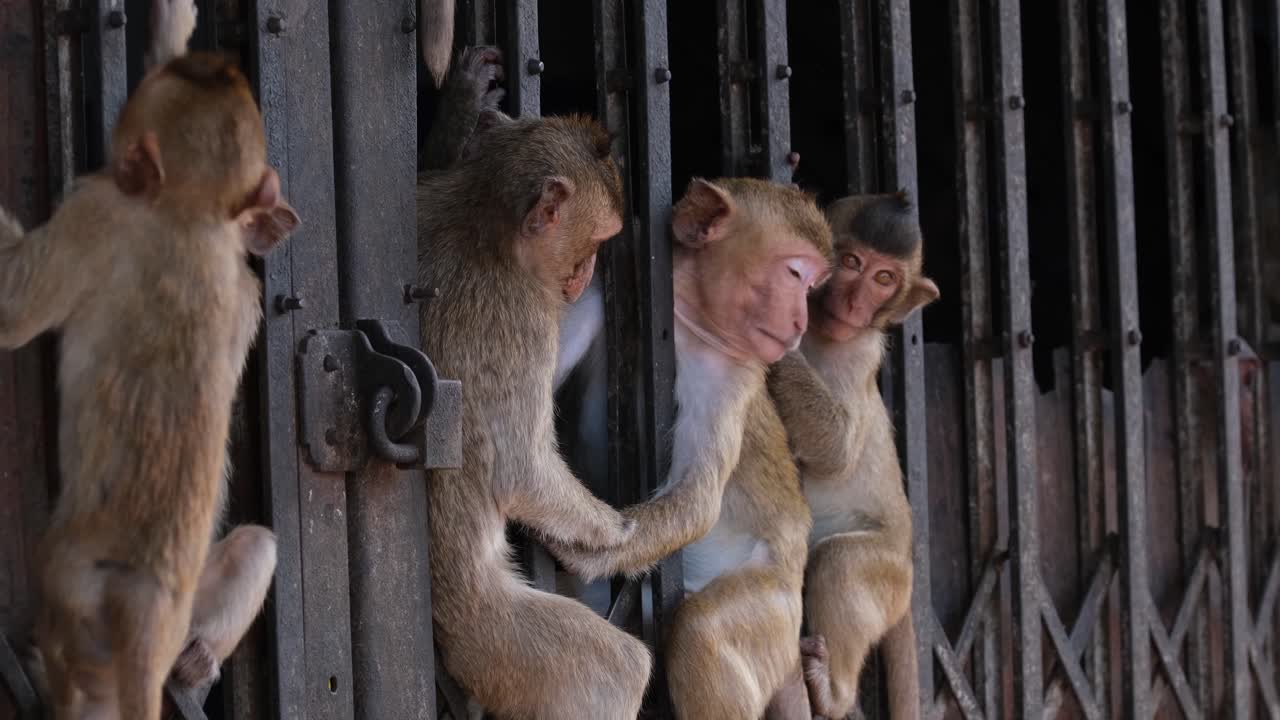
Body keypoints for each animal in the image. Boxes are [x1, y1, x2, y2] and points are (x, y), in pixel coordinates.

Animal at [1, 7, 297, 716]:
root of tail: (151, 610)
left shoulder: (99, 209)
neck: (189, 214)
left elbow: (13, 309)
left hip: (70, 587)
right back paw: (193, 665)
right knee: (257, 545)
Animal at [544, 177, 834, 720]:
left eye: (810, 288)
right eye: (795, 275)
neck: (683, 318)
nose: (801, 323)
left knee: (700, 629)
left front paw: (579, 548)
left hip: (774, 611)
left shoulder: (732, 371)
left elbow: (697, 499)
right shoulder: (597, 291)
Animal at [765, 192, 938, 720]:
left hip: (884, 574)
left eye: (884, 278)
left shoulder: (860, 354)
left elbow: (838, 449)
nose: (856, 302)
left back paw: (833, 692)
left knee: (840, 562)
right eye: (851, 262)